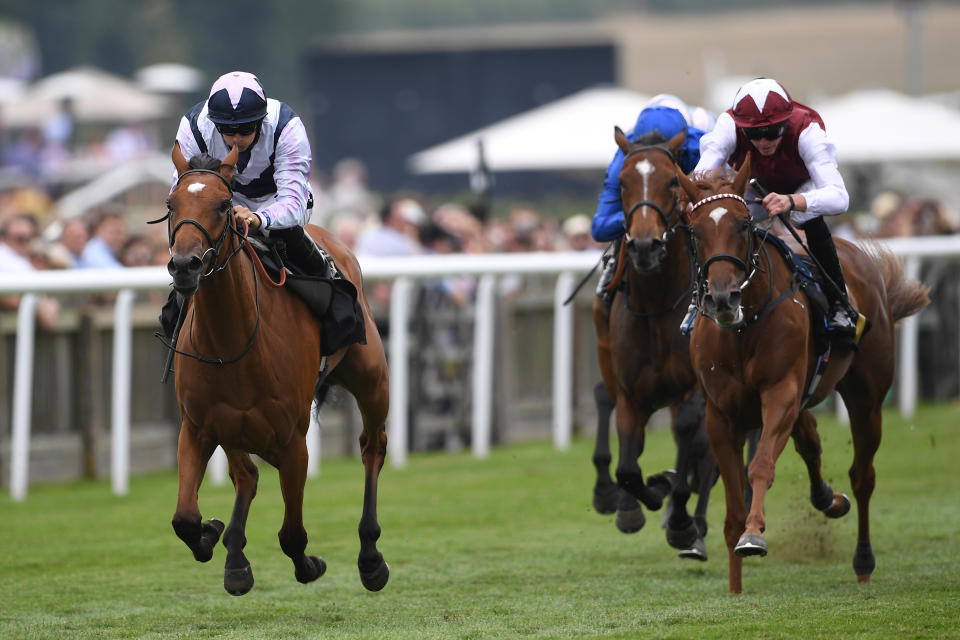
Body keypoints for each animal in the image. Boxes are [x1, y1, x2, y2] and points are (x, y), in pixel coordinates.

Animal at [164, 145, 390, 596]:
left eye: (223, 205)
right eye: (170, 204)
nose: (184, 266)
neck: (233, 343)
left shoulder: (292, 442)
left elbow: (292, 534)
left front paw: (311, 565)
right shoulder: (198, 428)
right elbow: (185, 518)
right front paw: (213, 535)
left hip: (372, 378)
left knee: (372, 446)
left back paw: (371, 556)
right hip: (231, 428)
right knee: (246, 474)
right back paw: (234, 555)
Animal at [592, 127, 720, 556]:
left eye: (671, 182)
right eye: (621, 183)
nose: (645, 246)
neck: (659, 305)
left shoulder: (695, 390)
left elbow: (690, 437)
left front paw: (680, 520)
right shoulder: (632, 394)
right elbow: (628, 469)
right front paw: (639, 500)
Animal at [676, 160, 928, 596]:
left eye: (743, 223)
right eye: (695, 229)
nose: (723, 299)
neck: (743, 327)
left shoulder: (780, 392)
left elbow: (760, 466)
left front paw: (754, 535)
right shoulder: (721, 413)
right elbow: (733, 500)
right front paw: (735, 584)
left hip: (867, 397)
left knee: (862, 476)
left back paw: (863, 560)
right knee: (809, 439)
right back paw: (829, 499)